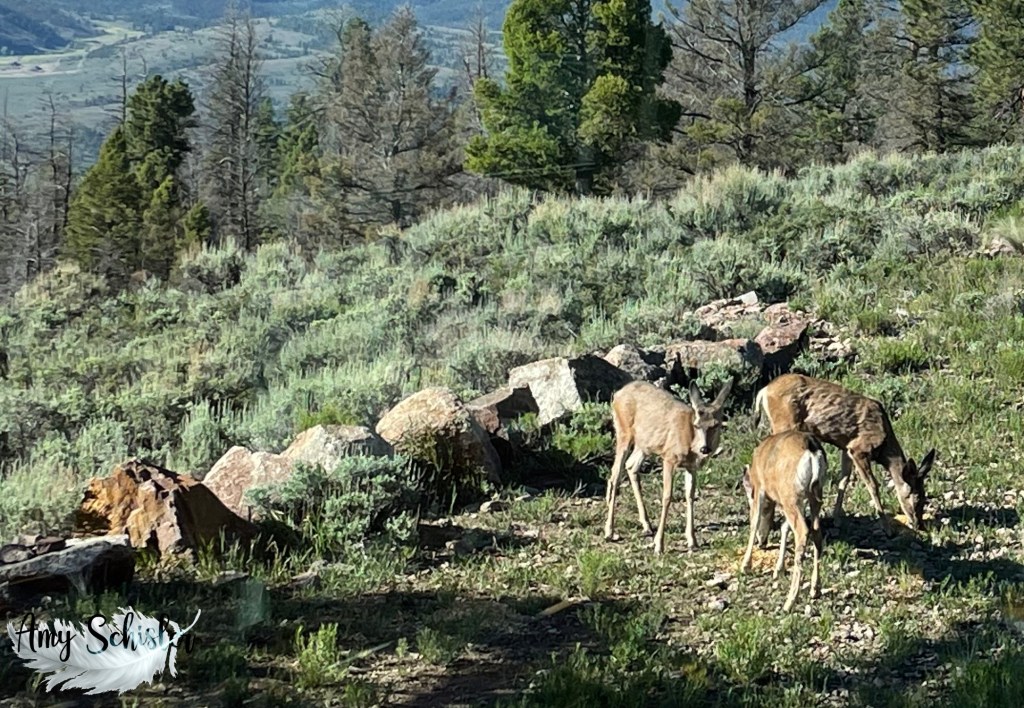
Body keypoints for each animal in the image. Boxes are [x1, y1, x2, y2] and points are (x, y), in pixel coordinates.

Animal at [604, 378, 733, 555]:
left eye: (716, 424)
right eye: (697, 425)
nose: (705, 449)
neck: (690, 443)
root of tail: (617, 394)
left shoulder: (691, 467)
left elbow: (690, 496)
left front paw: (693, 541)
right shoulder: (669, 458)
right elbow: (667, 496)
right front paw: (659, 545)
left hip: (644, 443)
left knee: (631, 466)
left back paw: (646, 525)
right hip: (623, 431)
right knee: (615, 475)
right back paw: (609, 531)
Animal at [740, 430, 827, 612]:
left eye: (749, 498)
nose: (762, 542)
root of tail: (812, 449)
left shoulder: (761, 489)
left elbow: (754, 523)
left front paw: (745, 566)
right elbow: (784, 527)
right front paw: (778, 569)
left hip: (791, 496)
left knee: (802, 531)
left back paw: (789, 602)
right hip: (814, 494)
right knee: (816, 531)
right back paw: (815, 589)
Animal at [753, 373, 936, 532]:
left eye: (925, 497)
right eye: (916, 498)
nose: (919, 525)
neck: (884, 447)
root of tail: (764, 390)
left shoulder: (846, 448)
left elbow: (844, 481)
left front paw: (837, 519)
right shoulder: (859, 448)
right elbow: (872, 485)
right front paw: (887, 527)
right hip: (784, 422)